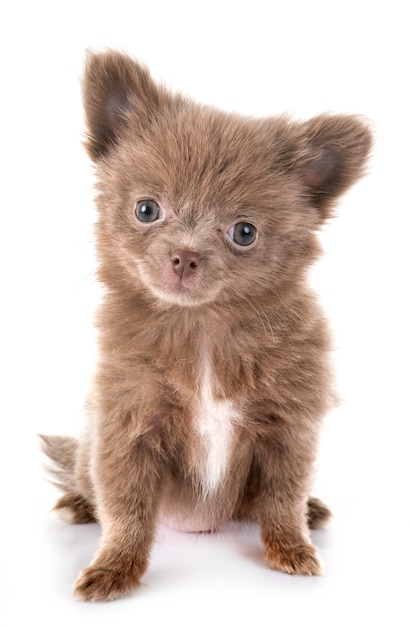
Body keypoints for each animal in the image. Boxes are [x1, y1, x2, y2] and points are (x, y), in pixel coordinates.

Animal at [40, 50, 372, 600]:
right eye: (147, 209)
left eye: (244, 232)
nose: (185, 256)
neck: (201, 330)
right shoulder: (125, 427)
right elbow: (127, 511)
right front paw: (114, 568)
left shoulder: (290, 429)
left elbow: (282, 498)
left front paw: (292, 547)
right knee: (85, 478)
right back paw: (79, 504)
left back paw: (314, 509)